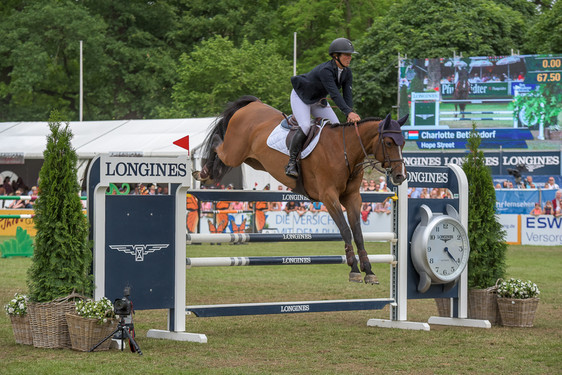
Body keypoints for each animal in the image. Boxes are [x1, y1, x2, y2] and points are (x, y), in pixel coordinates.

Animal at [195, 97, 404, 284]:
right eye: (389, 143)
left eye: (402, 143)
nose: (400, 176)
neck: (345, 152)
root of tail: (253, 104)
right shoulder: (329, 197)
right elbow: (345, 230)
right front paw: (354, 270)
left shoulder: (352, 197)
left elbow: (358, 234)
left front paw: (369, 271)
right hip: (235, 153)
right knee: (217, 144)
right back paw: (203, 172)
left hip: (252, 160)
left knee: (222, 159)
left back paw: (208, 173)